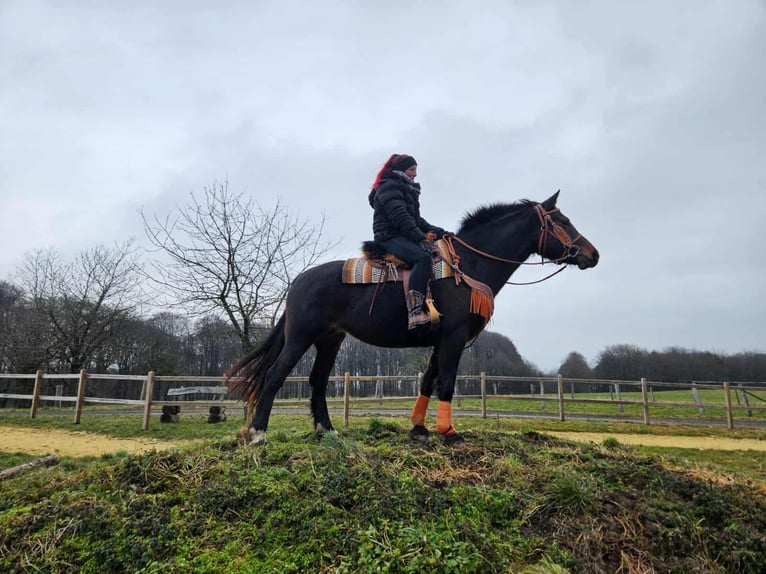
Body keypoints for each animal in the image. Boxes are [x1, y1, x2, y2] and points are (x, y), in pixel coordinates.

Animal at [226, 191, 599, 445]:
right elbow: (446, 382)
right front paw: (449, 432)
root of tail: (298, 281)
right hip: (301, 337)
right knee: (274, 375)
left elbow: (427, 381)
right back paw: (257, 432)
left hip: (330, 340)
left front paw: (419, 429)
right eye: (562, 222)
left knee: (317, 381)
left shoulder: (440, 340)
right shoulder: (453, 338)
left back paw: (327, 431)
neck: (466, 266)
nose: (592, 254)